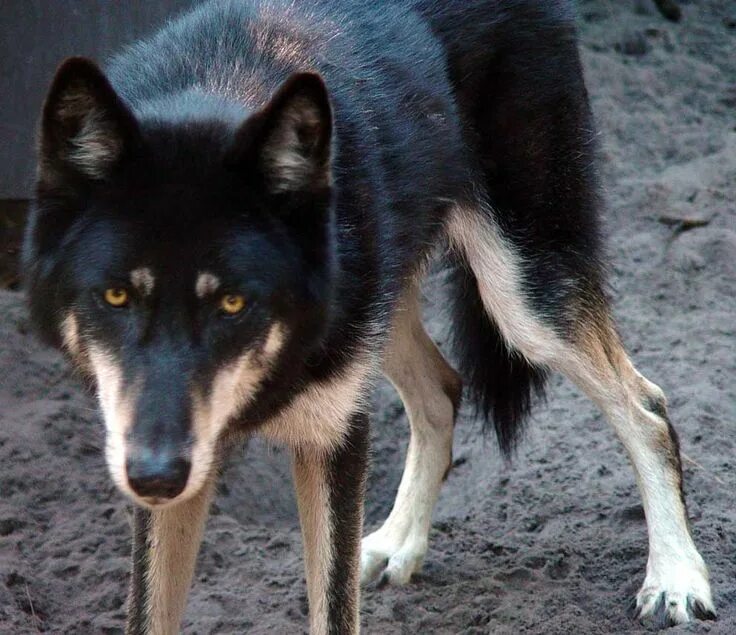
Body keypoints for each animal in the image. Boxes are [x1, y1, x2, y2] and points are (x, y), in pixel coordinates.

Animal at [23, 0, 712, 632]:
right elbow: (149, 611)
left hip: (522, 298)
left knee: (648, 408)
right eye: (116, 297)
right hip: (386, 309)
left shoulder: (333, 433)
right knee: (443, 389)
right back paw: (398, 543)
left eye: (233, 303)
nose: (156, 474)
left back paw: (676, 578)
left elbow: (333, 609)